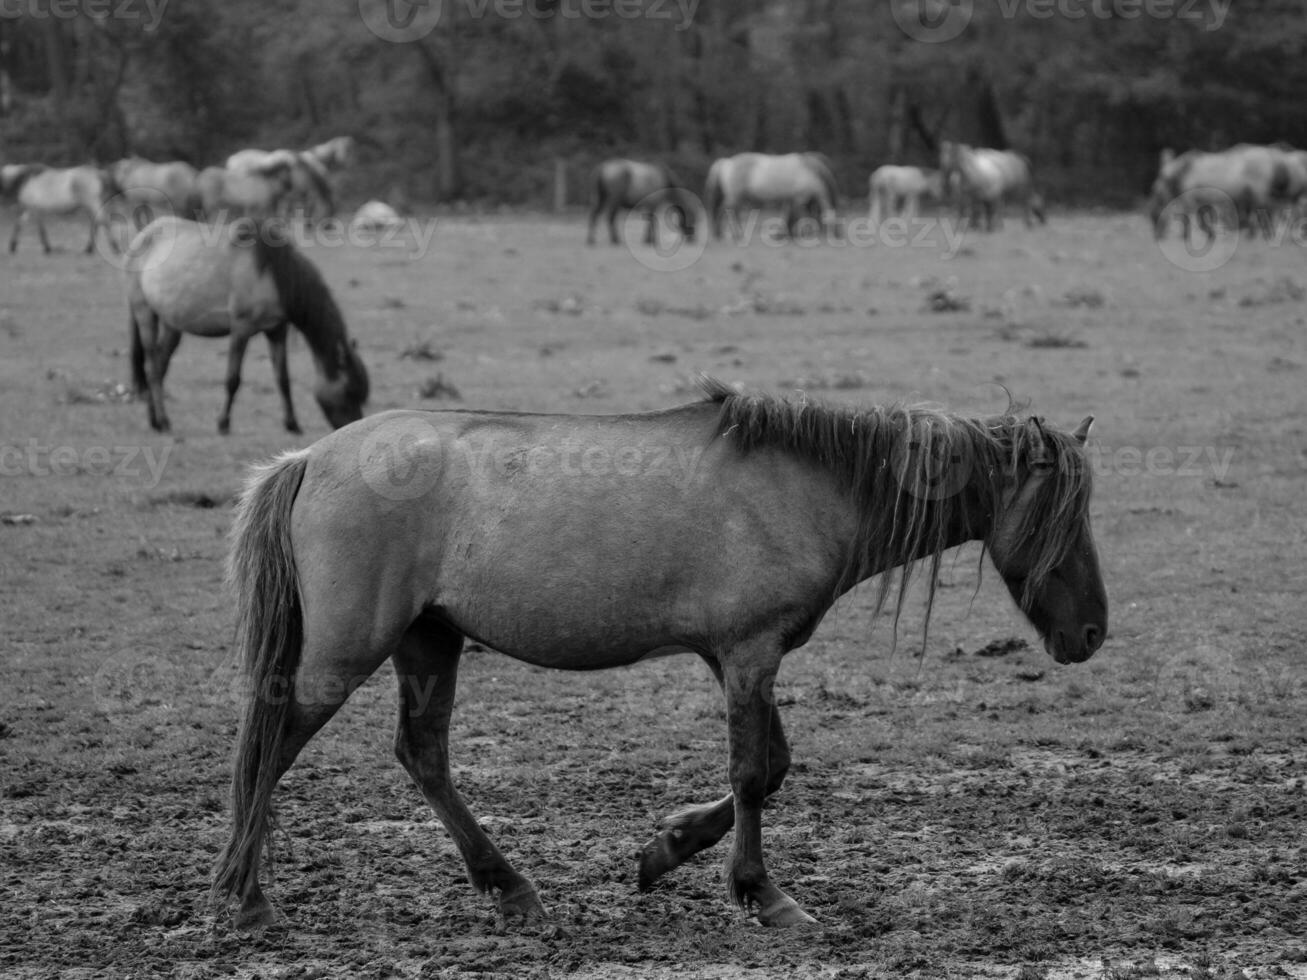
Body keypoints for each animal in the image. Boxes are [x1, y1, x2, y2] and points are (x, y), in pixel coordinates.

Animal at [124, 216, 368, 436]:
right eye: (349, 392)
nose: (354, 426)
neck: (272, 276)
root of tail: (143, 234)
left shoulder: (276, 331)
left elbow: (283, 380)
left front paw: (292, 424)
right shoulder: (241, 329)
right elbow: (233, 379)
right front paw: (223, 423)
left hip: (172, 324)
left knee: (160, 366)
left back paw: (155, 420)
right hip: (145, 313)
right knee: (152, 367)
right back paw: (163, 421)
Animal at [211, 378, 1103, 930]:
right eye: (1058, 521)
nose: (1091, 633)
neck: (806, 487)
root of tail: (311, 459)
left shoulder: (740, 658)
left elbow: (771, 767)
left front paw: (664, 850)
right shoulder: (748, 655)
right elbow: (751, 773)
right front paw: (761, 894)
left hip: (428, 641)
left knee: (420, 755)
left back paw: (509, 887)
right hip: (350, 651)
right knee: (274, 746)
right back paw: (247, 896)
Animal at [705, 155, 836, 244]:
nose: (838, 234)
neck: (809, 172)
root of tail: (727, 162)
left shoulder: (793, 199)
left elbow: (793, 216)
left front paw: (789, 234)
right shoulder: (800, 198)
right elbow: (802, 216)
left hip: (738, 198)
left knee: (729, 212)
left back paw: (724, 234)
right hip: (735, 197)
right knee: (726, 211)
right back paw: (732, 235)